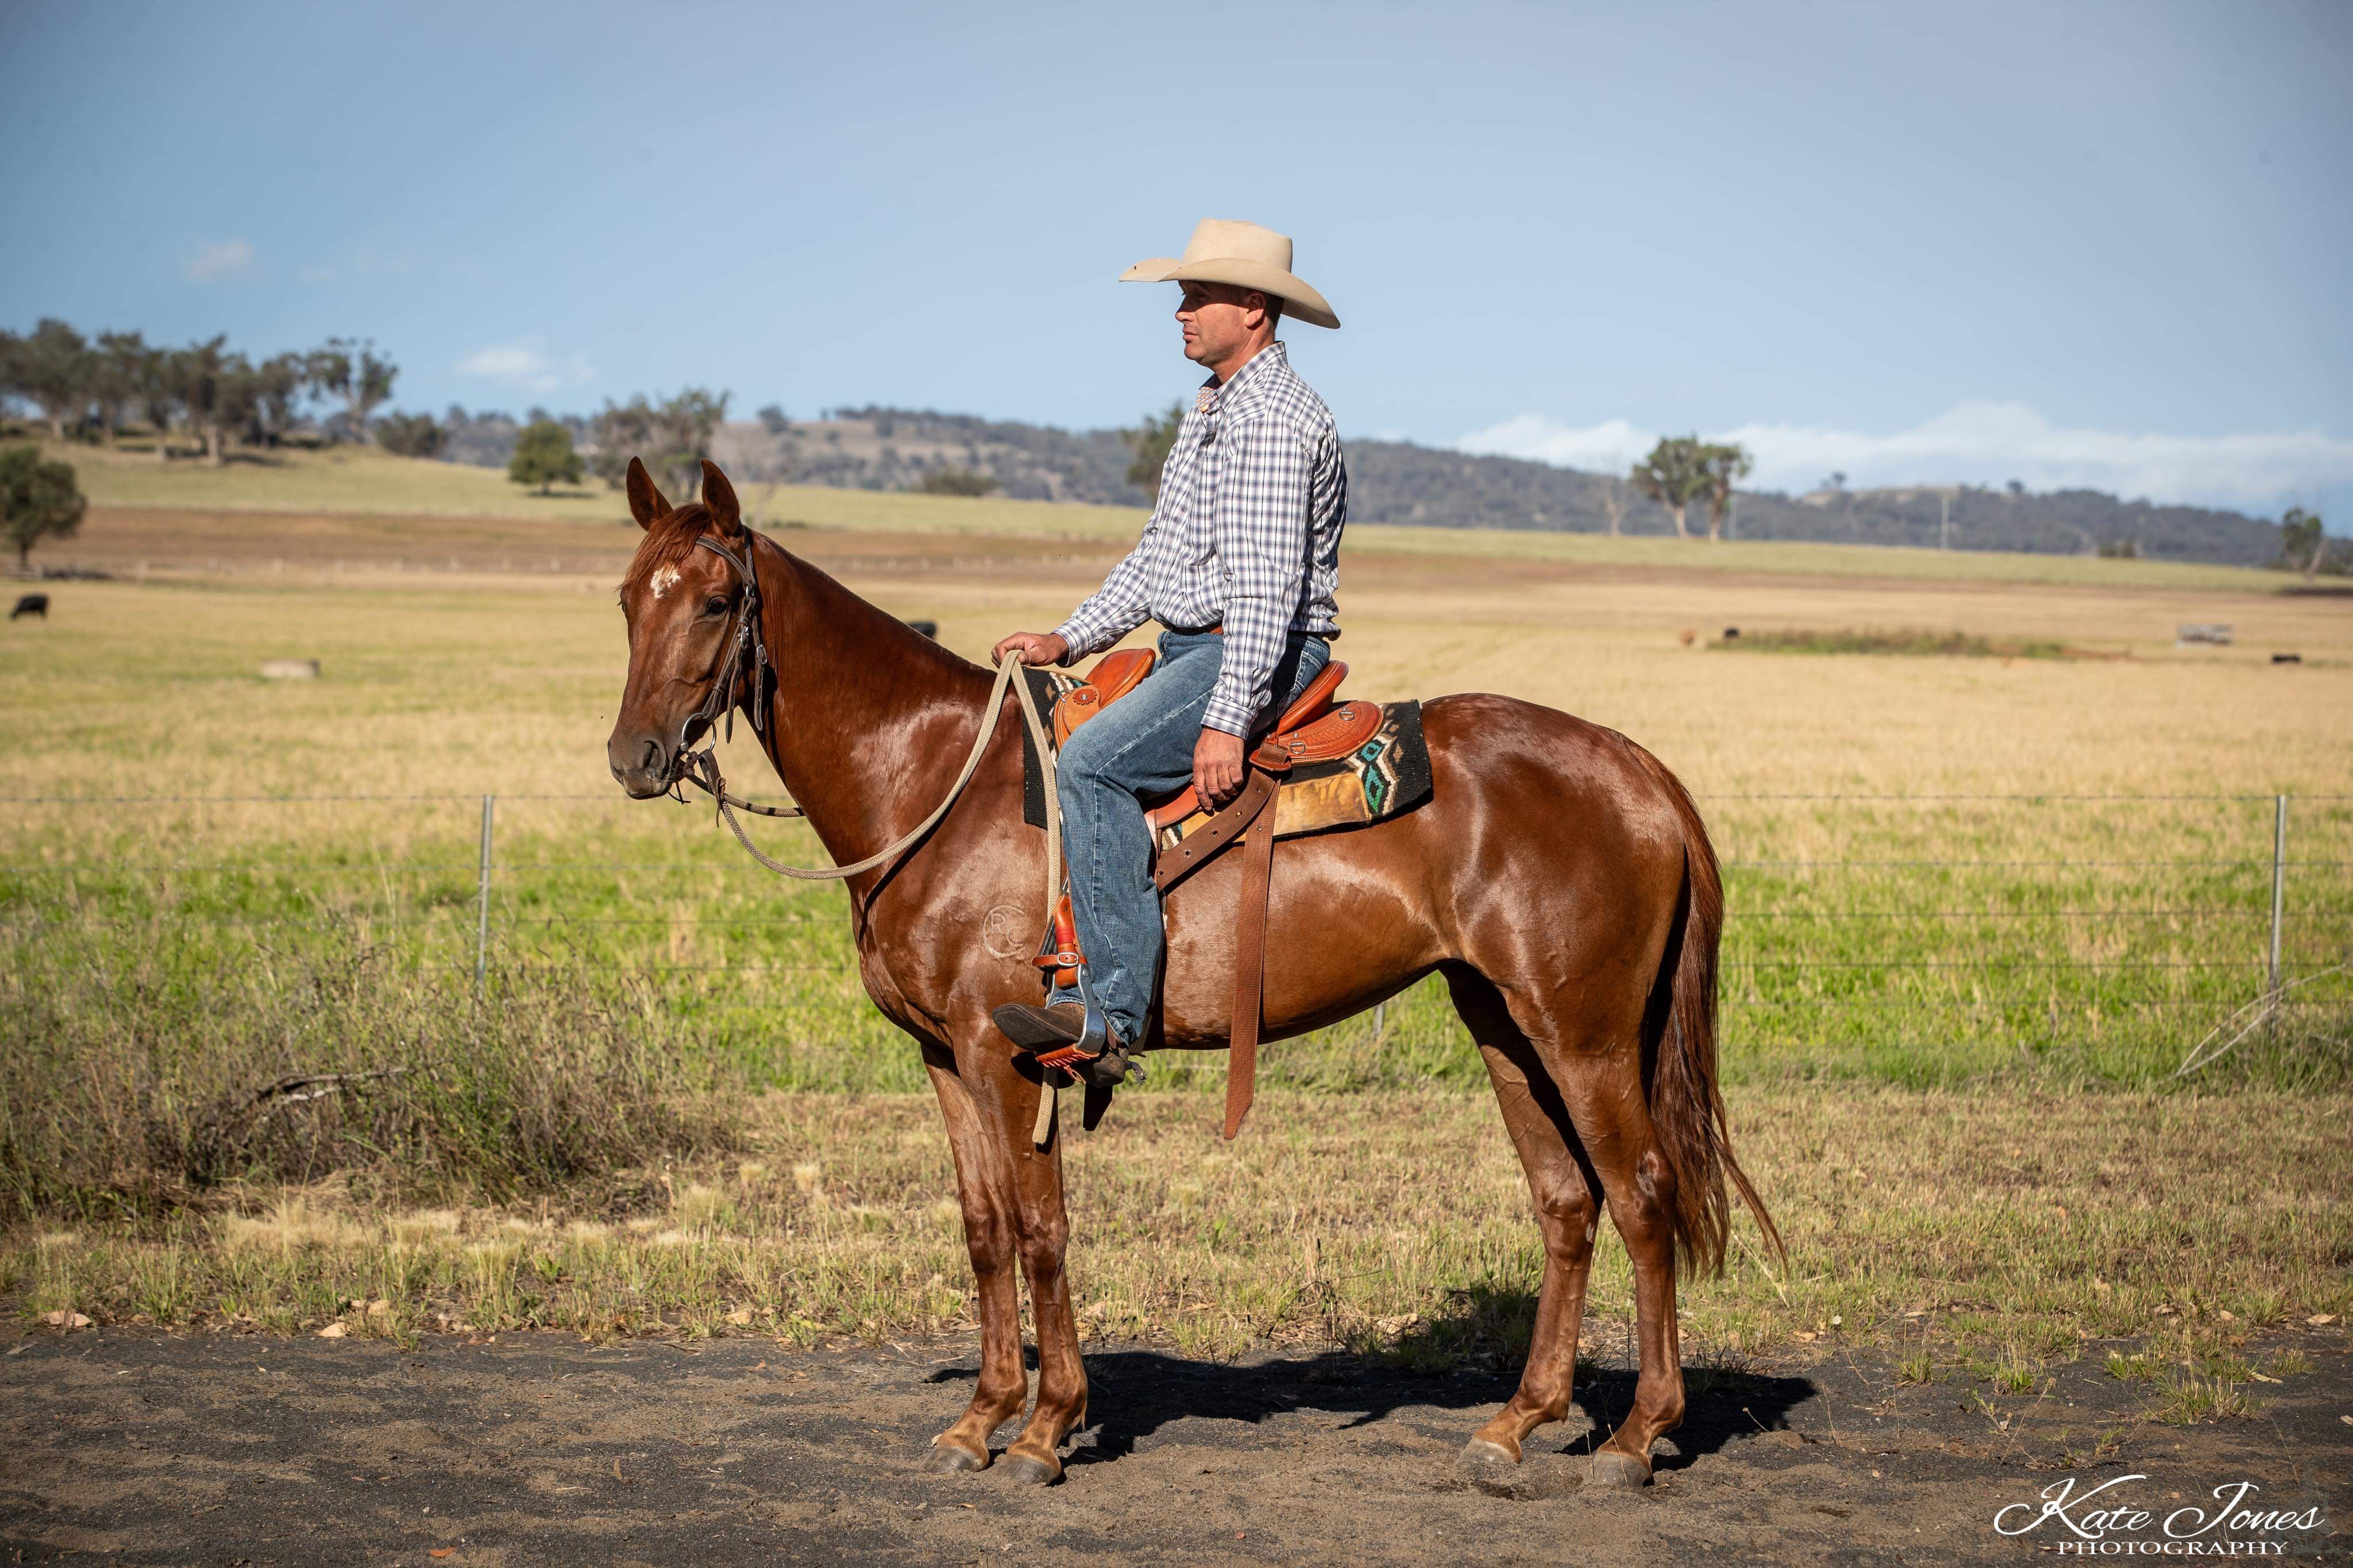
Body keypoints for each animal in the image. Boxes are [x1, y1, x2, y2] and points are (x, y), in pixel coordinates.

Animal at [606, 457, 1777, 1491]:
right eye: (626, 599)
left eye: (716, 600)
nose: (633, 757)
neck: (931, 780)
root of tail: (1635, 766)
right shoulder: (943, 1058)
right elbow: (984, 1233)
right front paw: (980, 1419)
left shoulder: (1008, 1054)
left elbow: (1039, 1234)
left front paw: (1044, 1430)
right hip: (1503, 1024)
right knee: (1566, 1202)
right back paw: (1517, 1424)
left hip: (1586, 1036)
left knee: (1642, 1196)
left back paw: (1636, 1436)